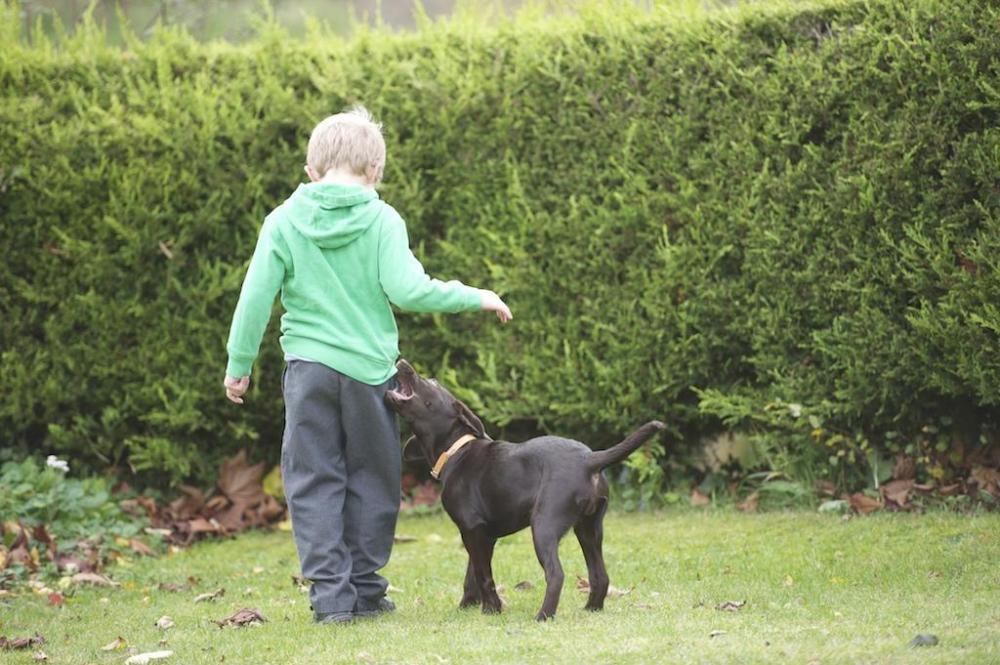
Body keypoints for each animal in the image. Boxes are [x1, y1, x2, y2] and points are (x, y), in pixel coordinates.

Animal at [384, 360, 664, 620]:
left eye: (431, 382)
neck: (456, 450)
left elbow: (483, 575)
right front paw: (467, 607)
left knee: (556, 574)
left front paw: (491, 609)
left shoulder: (473, 528)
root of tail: (590, 459)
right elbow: (472, 574)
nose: (402, 362)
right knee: (600, 575)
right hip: (589, 528)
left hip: (544, 525)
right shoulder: (479, 534)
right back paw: (591, 609)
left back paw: (543, 616)